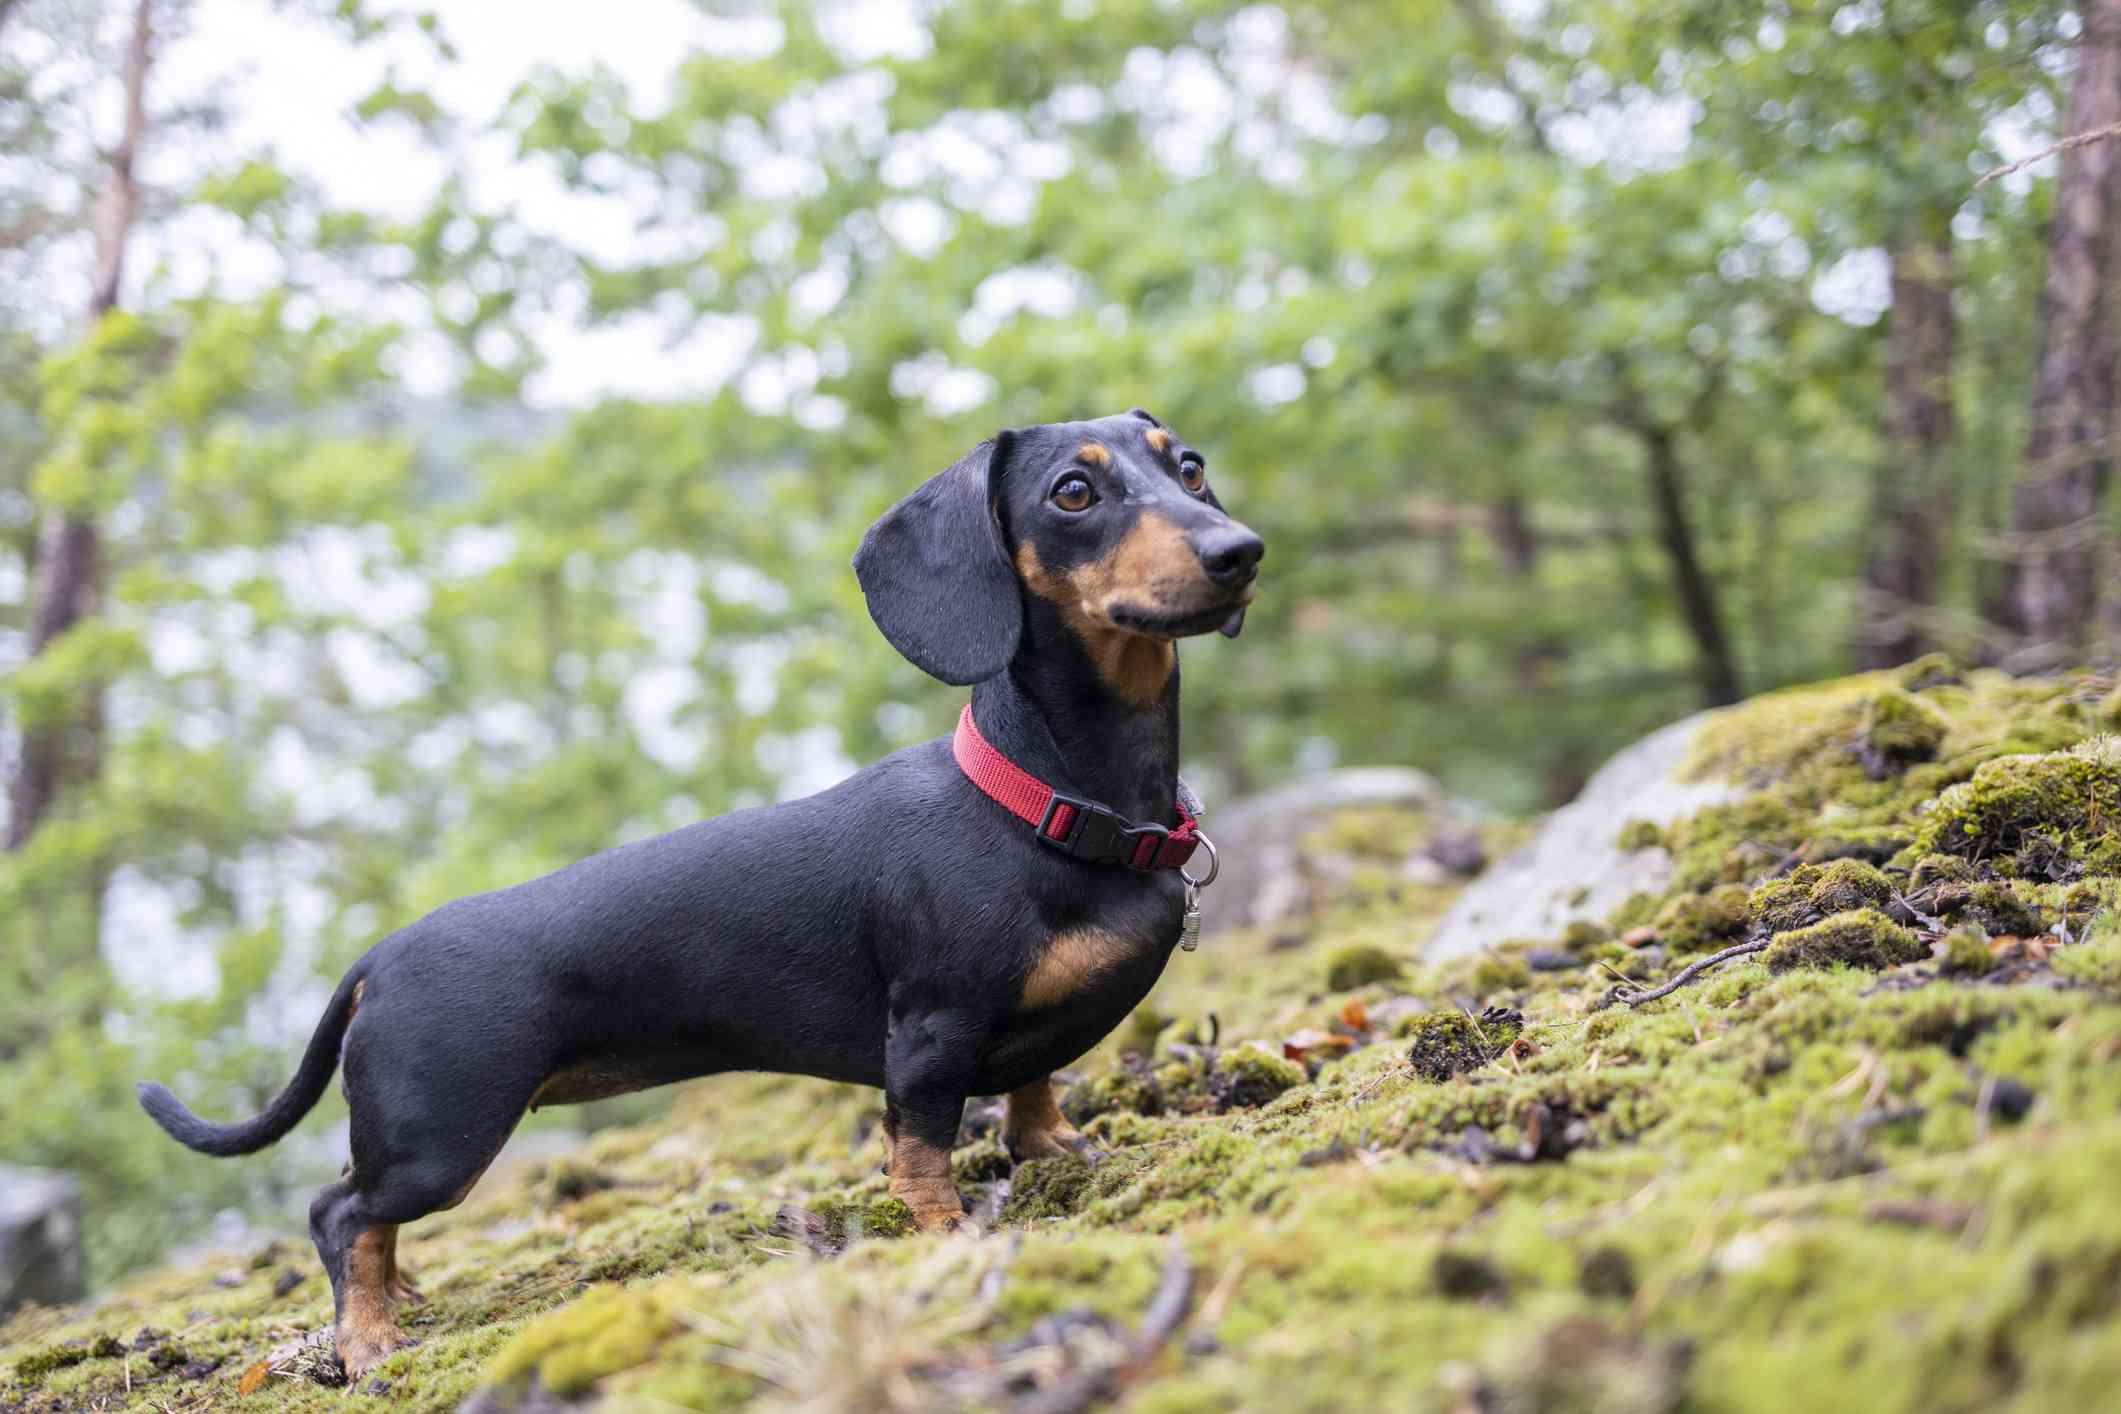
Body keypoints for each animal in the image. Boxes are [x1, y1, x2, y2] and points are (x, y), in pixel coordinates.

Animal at [145, 407, 1255, 1373]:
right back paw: (370, 1338)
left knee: (357, 1207)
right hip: (440, 1139)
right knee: (339, 1213)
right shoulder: (932, 1035)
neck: (1048, 804)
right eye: (1073, 491)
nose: (1241, 551)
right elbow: (920, 1151)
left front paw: (1060, 1149)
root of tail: (378, 956)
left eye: (1190, 466)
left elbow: (1034, 1090)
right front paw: (944, 1235)